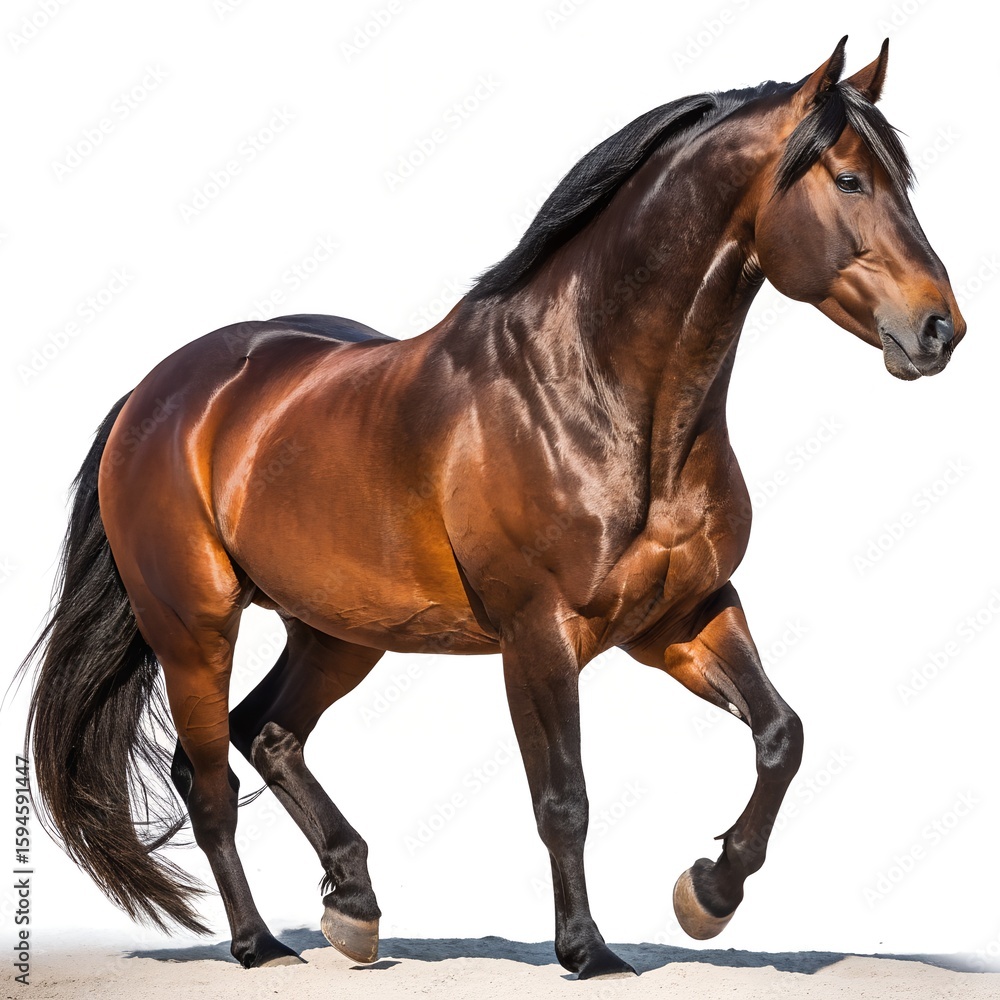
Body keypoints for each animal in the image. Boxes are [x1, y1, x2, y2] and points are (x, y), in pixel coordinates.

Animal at [22, 36, 964, 979]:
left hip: (337, 632)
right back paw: (261, 945)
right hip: (194, 627)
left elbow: (781, 735)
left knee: (267, 735)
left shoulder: (684, 617)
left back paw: (353, 906)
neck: (593, 394)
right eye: (850, 179)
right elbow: (564, 797)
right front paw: (589, 950)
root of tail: (159, 394)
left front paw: (708, 892)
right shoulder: (537, 635)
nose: (939, 330)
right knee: (209, 780)